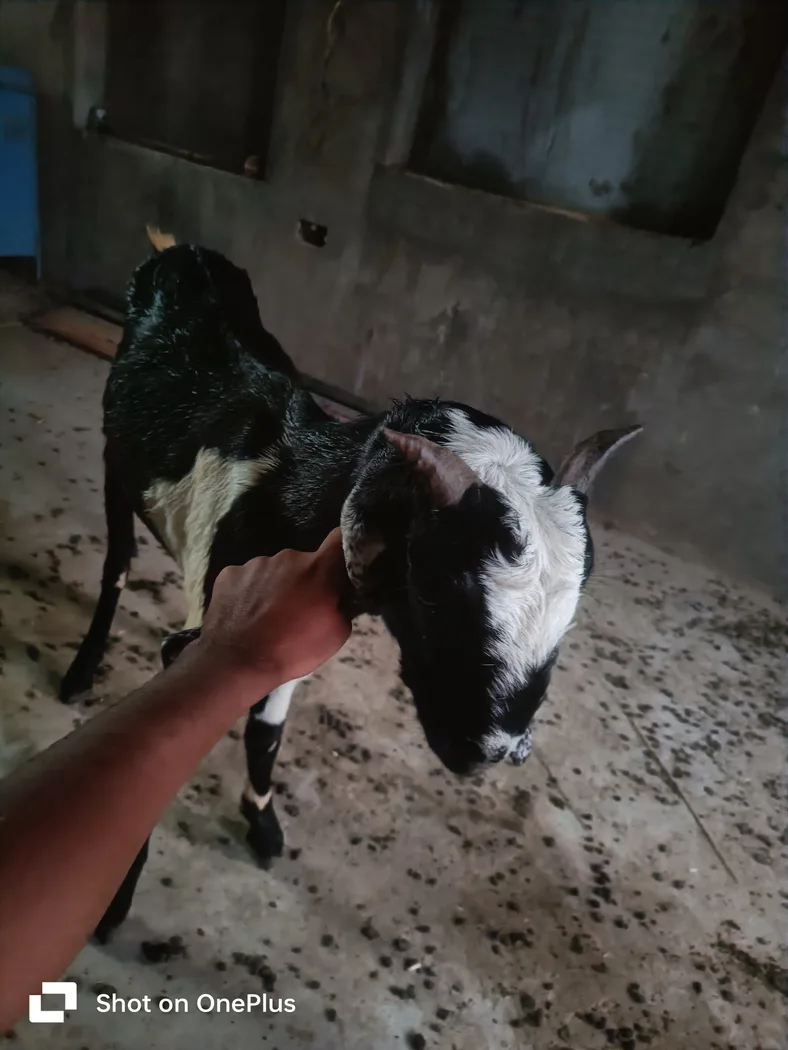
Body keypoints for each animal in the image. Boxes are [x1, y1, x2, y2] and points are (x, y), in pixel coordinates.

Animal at [61, 234, 639, 939]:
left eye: (573, 613)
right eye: (438, 586)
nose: (496, 749)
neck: (296, 486)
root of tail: (184, 250)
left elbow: (267, 728)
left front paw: (262, 822)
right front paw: (115, 904)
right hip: (116, 457)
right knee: (117, 559)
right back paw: (82, 668)